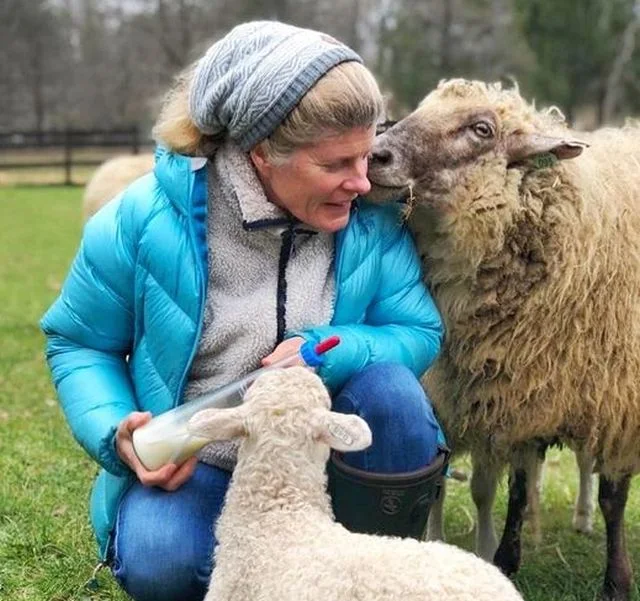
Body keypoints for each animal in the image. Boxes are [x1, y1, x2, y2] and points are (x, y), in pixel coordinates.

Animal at [364, 79, 640, 600]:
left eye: (482, 129)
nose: (375, 155)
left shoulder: (618, 402)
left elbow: (615, 498)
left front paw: (616, 581)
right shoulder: (521, 395)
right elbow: (516, 486)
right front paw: (507, 560)